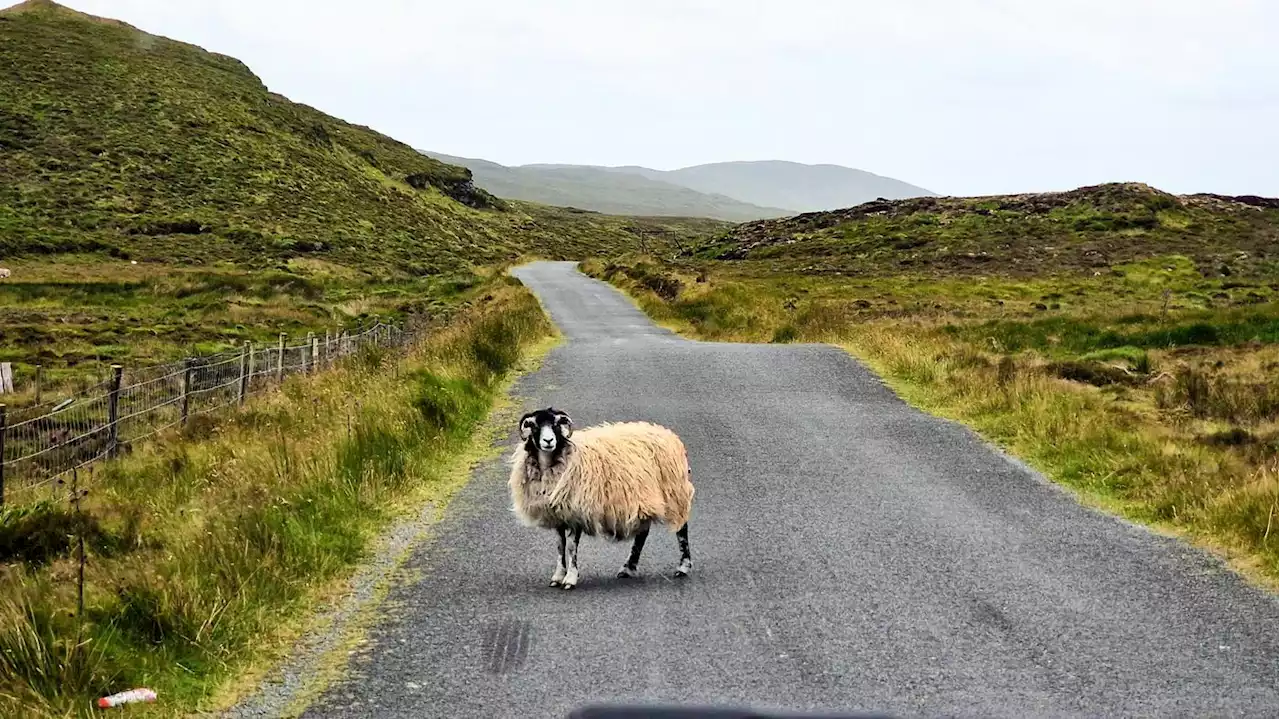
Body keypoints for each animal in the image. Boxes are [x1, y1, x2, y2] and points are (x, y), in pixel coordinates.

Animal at [504, 406, 696, 585]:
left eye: (556, 424)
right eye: (535, 425)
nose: (548, 441)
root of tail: (668, 434)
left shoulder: (576, 511)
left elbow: (571, 547)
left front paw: (570, 578)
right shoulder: (558, 513)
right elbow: (560, 546)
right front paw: (558, 576)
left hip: (673, 491)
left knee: (681, 528)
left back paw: (683, 566)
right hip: (643, 497)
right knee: (643, 532)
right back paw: (628, 568)